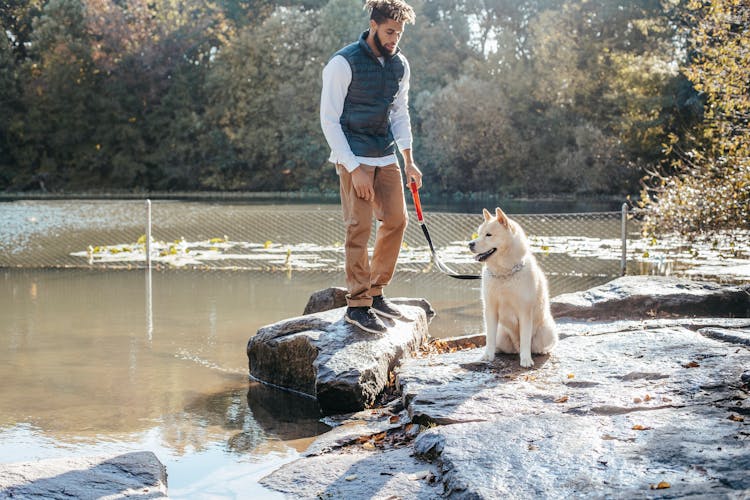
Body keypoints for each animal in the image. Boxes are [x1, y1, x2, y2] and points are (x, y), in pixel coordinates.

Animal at [470, 207, 560, 368]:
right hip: (502, 333)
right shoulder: (490, 309)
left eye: (489, 235)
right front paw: (487, 356)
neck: (504, 274)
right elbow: (489, 338)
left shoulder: (525, 311)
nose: (470, 244)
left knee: (535, 345)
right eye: (479, 234)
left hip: (547, 332)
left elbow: (525, 338)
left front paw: (526, 360)